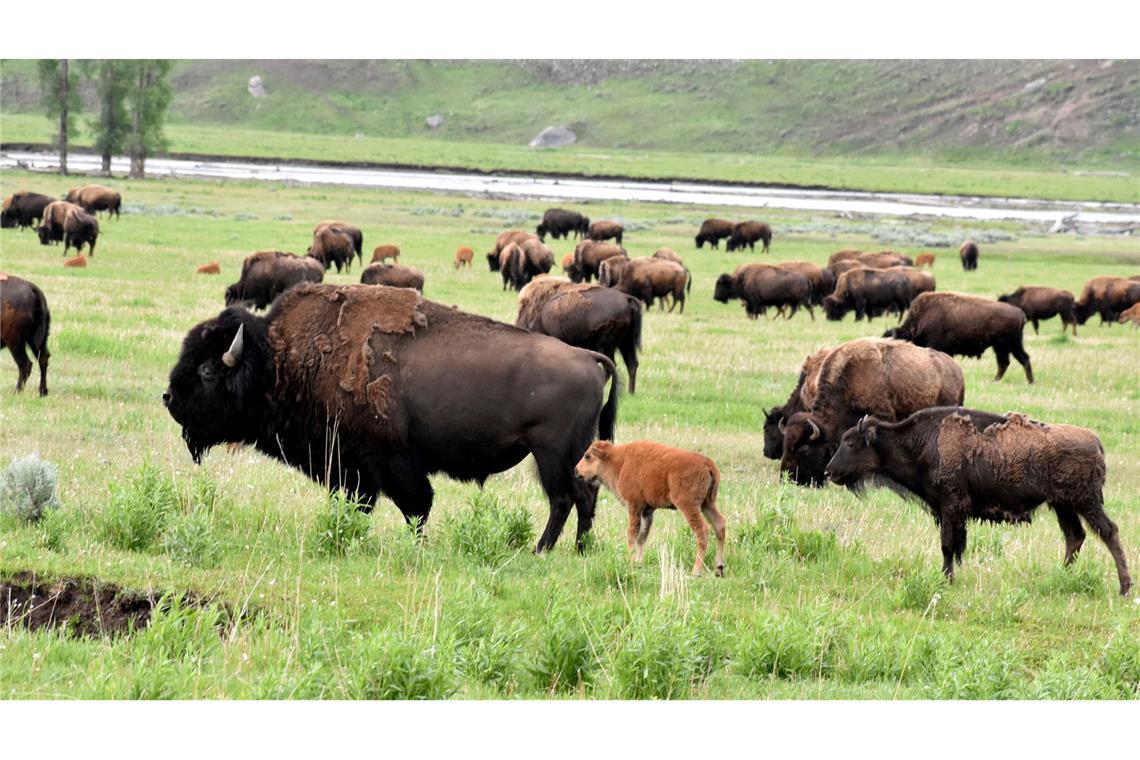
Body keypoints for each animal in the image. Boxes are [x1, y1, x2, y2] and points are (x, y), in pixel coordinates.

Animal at [163, 281, 615, 553]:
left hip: (552, 454)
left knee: (565, 498)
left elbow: (415, 505)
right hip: (567, 454)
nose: (168, 398)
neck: (280, 360)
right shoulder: (349, 466)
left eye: (206, 371)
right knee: (583, 498)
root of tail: (587, 357)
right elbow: (358, 503)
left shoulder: (387, 459)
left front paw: (415, 545)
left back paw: (542, 550)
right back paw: (578, 550)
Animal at [574, 439, 725, 576]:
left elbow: (632, 534)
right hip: (708, 504)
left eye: (587, 456)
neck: (619, 462)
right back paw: (719, 568)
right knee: (720, 525)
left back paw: (696, 571)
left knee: (703, 531)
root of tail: (707, 463)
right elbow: (642, 537)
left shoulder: (634, 506)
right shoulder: (648, 511)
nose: (576, 470)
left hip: (689, 506)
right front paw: (638, 562)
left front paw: (629, 560)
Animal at [829, 407, 1130, 597]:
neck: (923, 442)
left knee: (1108, 532)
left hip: (1085, 502)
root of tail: (1095, 441)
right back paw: (1060, 577)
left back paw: (1124, 588)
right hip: (1062, 505)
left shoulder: (951, 507)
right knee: (1075, 536)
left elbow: (947, 545)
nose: (829, 471)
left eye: (851, 443)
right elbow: (953, 546)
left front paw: (946, 579)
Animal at [880, 293, 1035, 387]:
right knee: (1021, 359)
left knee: (1006, 362)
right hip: (1012, 344)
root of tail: (1020, 313)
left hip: (1003, 345)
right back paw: (1028, 382)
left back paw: (999, 381)